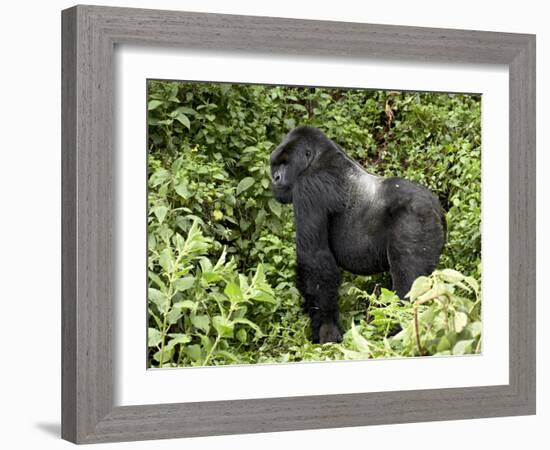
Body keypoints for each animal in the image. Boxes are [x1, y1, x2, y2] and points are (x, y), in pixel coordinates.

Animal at [272, 126, 448, 344]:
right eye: (275, 165)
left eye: (285, 163)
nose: (275, 178)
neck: (319, 157)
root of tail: (436, 209)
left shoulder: (309, 187)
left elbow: (314, 259)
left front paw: (326, 330)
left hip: (417, 221)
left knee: (409, 283)